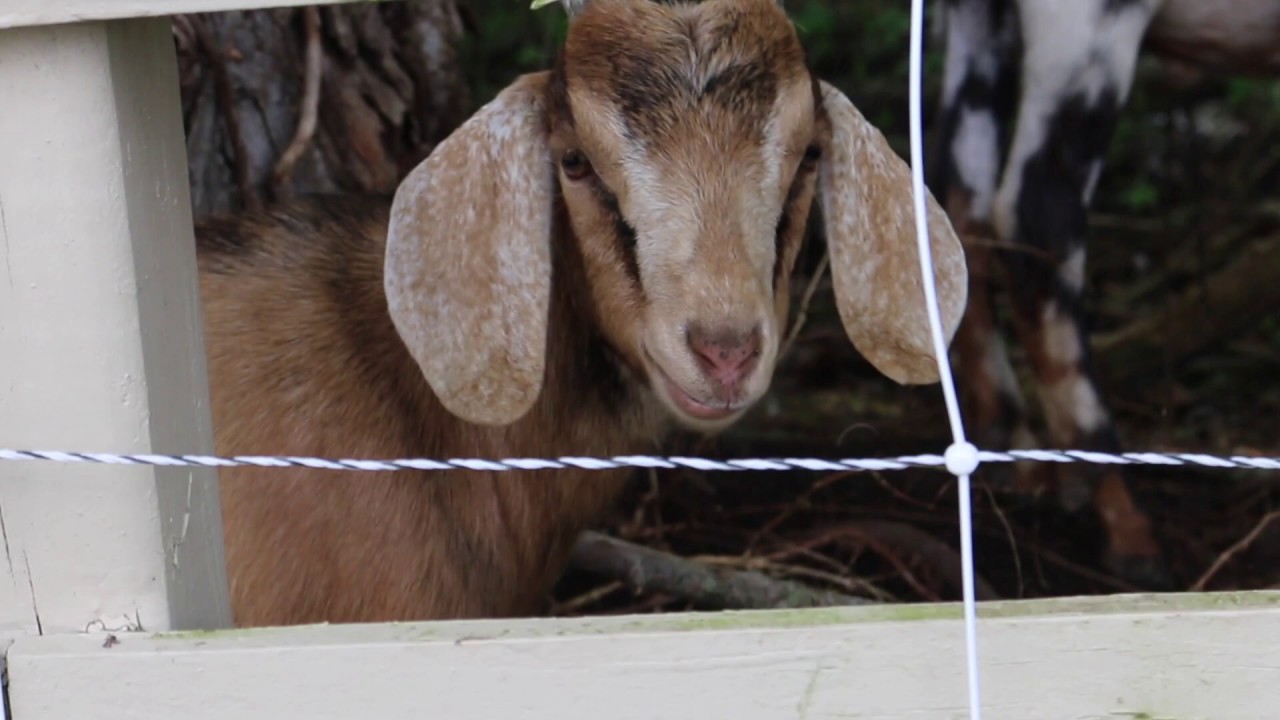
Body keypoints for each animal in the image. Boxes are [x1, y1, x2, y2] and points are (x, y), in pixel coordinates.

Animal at [931, 0, 1280, 588]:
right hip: (1085, 26)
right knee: (1038, 215)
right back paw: (1126, 523)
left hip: (977, 20)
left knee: (960, 199)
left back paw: (1012, 451)